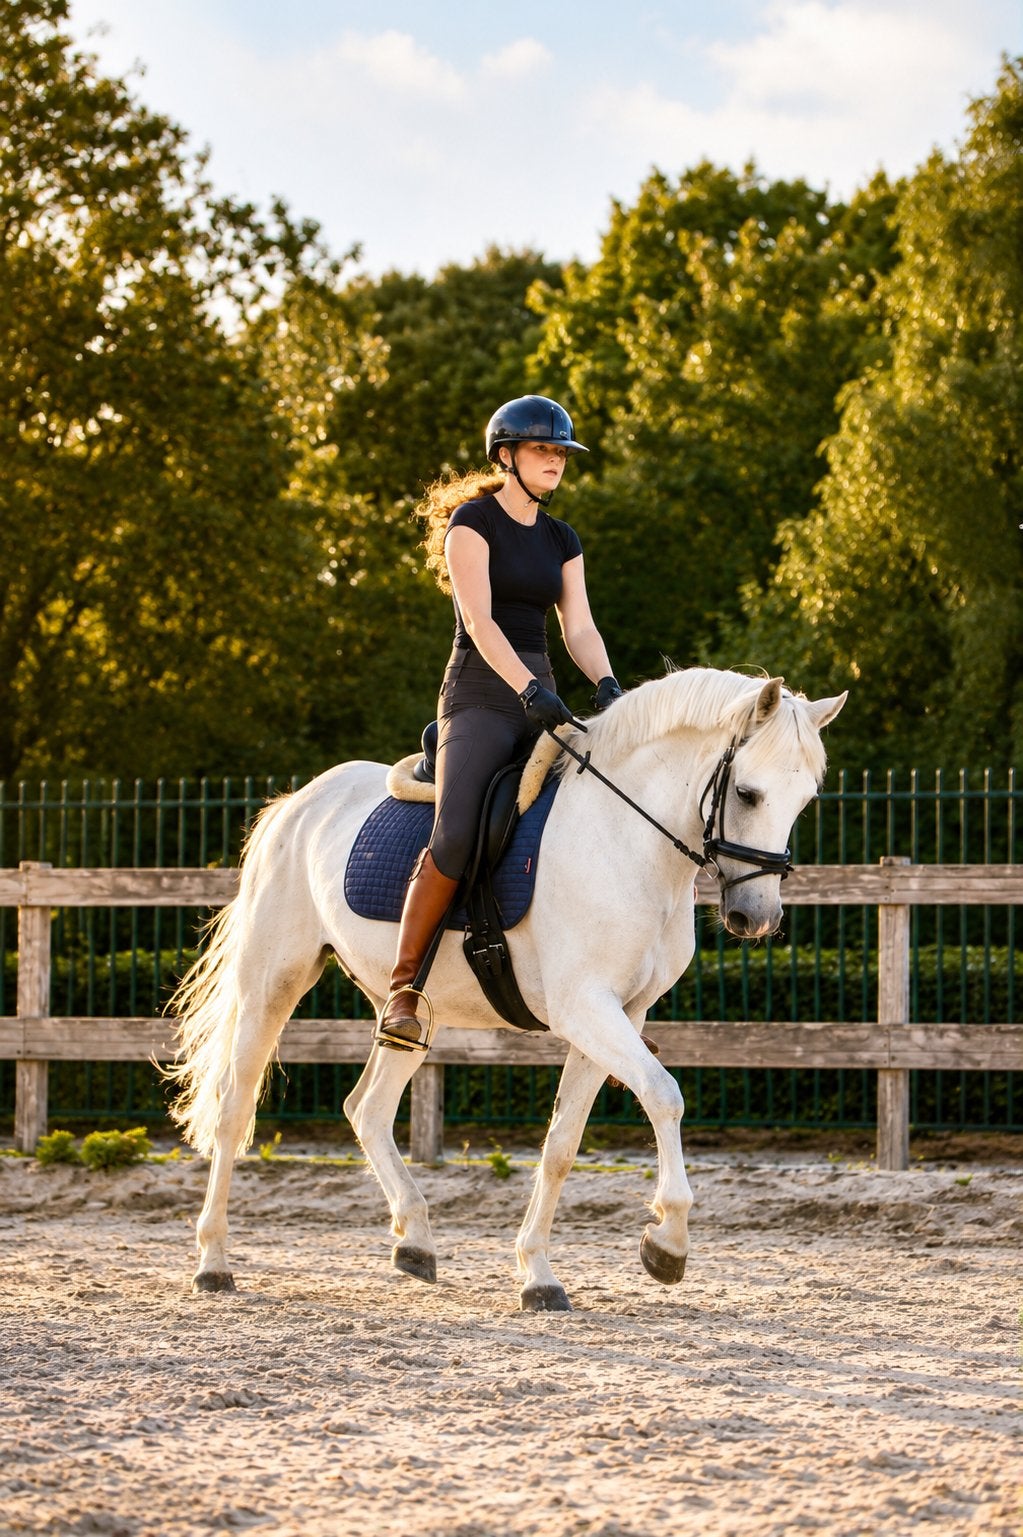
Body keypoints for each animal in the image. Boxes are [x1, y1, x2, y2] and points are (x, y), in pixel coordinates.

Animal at [166, 667, 846, 1310]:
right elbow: (664, 1095)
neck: (625, 840)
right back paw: (213, 1264)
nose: (756, 918)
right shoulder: (586, 1009)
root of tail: (297, 802)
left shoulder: (622, 1014)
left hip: (411, 1010)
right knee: (233, 1109)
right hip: (273, 982)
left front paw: (538, 1274)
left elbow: (562, 1143)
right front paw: (667, 1243)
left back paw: (415, 1242)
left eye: (806, 799)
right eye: (747, 793)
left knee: (368, 1108)